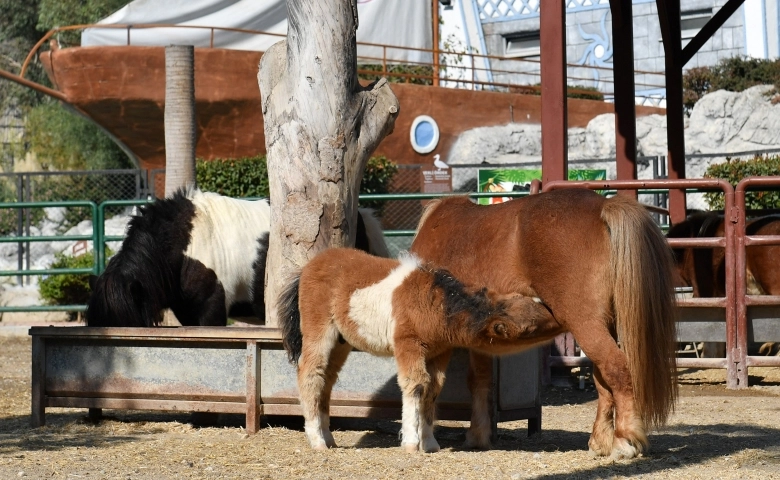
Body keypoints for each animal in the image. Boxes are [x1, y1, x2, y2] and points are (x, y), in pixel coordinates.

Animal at [278, 248, 556, 454]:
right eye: (532, 328)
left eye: (533, 302)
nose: (558, 317)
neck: (435, 305)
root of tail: (307, 268)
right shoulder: (408, 344)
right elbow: (415, 384)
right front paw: (412, 443)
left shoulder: (439, 352)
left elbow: (433, 388)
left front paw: (430, 443)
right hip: (319, 331)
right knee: (310, 373)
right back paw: (317, 441)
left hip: (340, 342)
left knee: (326, 380)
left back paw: (329, 438)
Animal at [412, 189, 680, 460]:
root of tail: (603, 206)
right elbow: (480, 379)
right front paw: (479, 434)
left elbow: (441, 383)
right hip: (604, 325)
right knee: (603, 380)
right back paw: (600, 441)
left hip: (585, 324)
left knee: (617, 369)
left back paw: (623, 440)